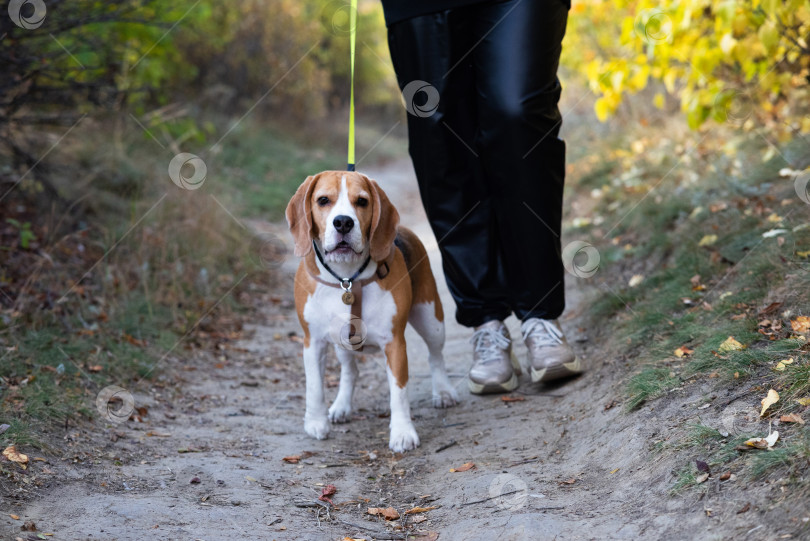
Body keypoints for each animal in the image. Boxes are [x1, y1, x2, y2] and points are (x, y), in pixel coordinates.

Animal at [286, 171, 458, 450]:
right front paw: (315, 423)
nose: (343, 223)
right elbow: (314, 387)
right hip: (341, 340)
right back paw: (341, 407)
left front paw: (402, 433)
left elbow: (399, 392)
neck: (346, 278)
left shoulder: (394, 343)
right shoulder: (313, 341)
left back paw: (443, 392)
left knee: (435, 356)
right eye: (323, 200)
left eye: (362, 201)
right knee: (350, 371)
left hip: (431, 319)